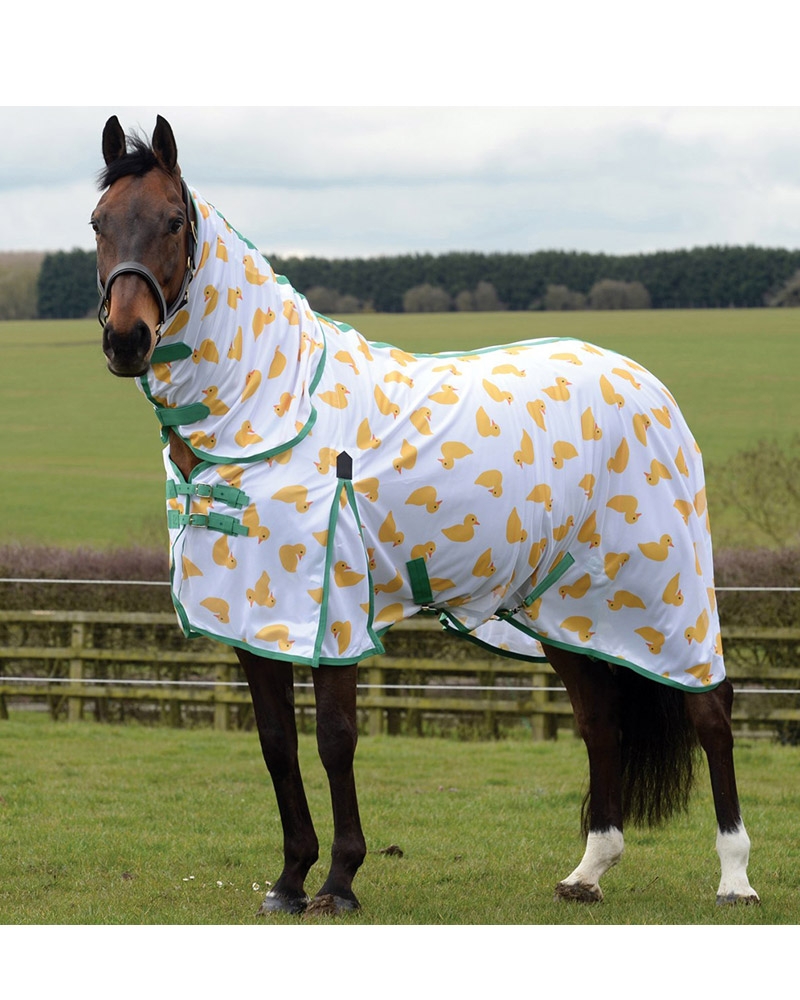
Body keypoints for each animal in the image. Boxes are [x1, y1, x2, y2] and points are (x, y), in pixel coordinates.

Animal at [91, 114, 759, 914]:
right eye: (98, 223)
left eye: (171, 220)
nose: (126, 339)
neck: (273, 409)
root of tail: (648, 386)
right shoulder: (255, 619)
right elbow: (277, 743)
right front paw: (289, 880)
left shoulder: (332, 614)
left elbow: (335, 739)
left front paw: (340, 882)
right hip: (569, 610)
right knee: (601, 725)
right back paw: (587, 874)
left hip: (669, 592)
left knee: (712, 712)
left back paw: (735, 879)